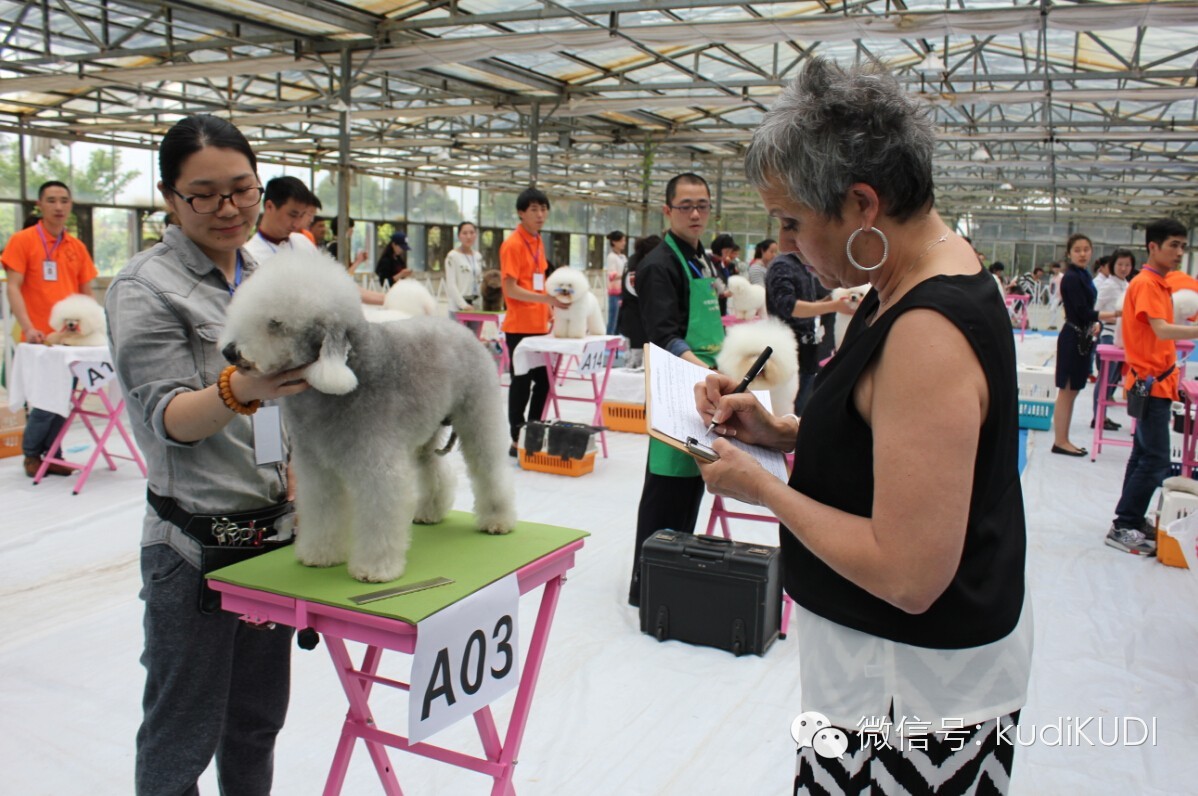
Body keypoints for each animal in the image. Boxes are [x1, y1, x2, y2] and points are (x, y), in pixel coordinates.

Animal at [220, 251, 515, 582]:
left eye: (275, 324)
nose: (229, 352)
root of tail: (459, 330)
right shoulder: (316, 470)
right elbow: (323, 509)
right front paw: (319, 555)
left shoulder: (377, 467)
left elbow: (379, 516)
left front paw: (375, 569)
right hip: (426, 435)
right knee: (435, 470)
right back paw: (430, 512)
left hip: (478, 416)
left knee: (489, 468)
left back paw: (498, 520)